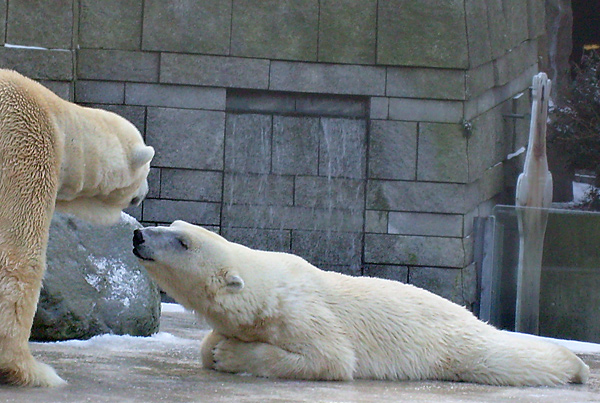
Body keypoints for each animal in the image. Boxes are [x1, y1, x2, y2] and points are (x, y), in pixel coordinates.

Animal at [132, 221, 592, 388]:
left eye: (182, 241)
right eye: (172, 225)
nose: (139, 234)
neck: (267, 291)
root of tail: (469, 314)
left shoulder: (304, 315)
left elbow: (330, 359)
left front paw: (229, 354)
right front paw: (216, 346)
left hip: (452, 343)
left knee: (502, 357)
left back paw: (575, 366)